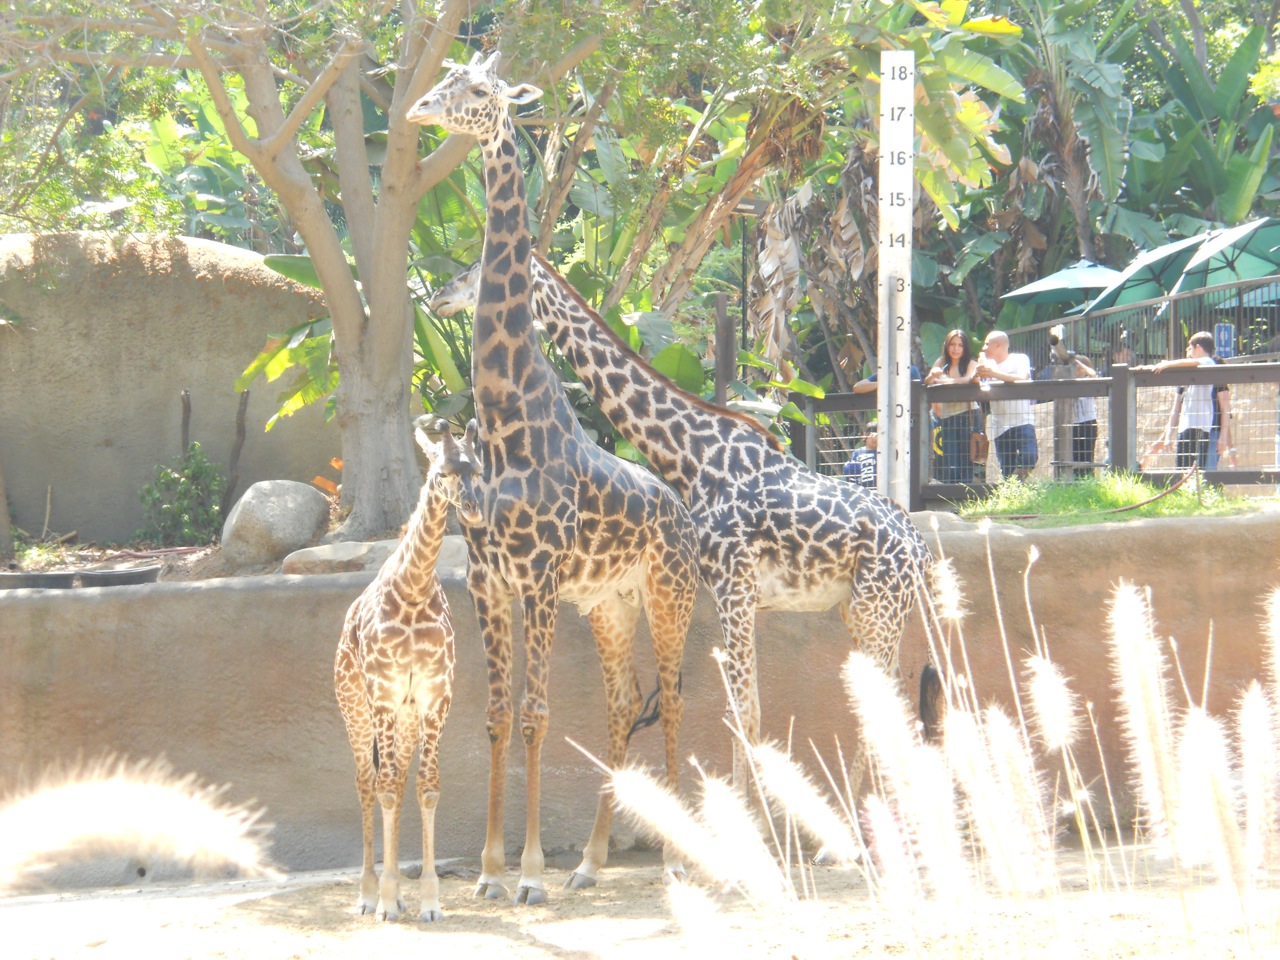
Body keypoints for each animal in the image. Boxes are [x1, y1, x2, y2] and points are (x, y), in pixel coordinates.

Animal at [333, 418, 479, 923]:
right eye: (441, 471)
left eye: (478, 468)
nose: (473, 511)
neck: (413, 592)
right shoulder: (382, 695)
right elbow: (386, 789)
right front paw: (386, 899)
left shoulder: (437, 696)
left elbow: (427, 788)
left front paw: (430, 901)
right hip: (356, 708)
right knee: (367, 781)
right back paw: (368, 893)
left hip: (407, 717)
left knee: (394, 777)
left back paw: (390, 893)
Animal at [405, 53, 700, 905]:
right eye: (446, 82)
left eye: (478, 92)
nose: (416, 109)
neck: (509, 419)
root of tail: (680, 507)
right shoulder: (489, 581)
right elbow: (500, 716)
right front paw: (490, 871)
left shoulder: (536, 579)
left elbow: (537, 714)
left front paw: (530, 872)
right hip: (608, 603)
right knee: (618, 704)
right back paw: (594, 861)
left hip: (669, 592)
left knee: (670, 696)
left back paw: (673, 857)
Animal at [429, 252, 935, 794]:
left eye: (470, 271)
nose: (437, 298)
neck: (691, 457)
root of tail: (922, 550)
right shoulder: (740, 596)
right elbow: (744, 710)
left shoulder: (735, 587)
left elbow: (744, 712)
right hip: (863, 612)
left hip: (876, 610)